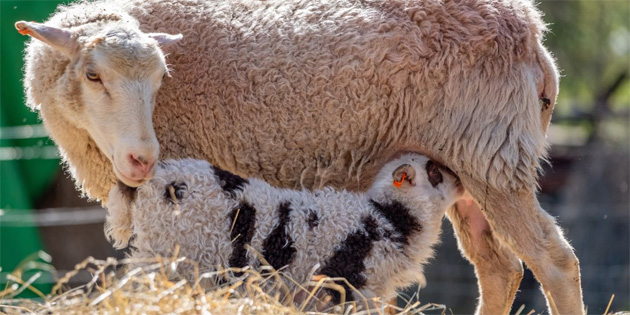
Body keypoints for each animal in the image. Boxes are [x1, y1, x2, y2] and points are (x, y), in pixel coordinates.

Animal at [105, 154, 464, 304]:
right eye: (435, 172)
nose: (461, 180)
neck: (390, 216)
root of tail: (153, 179)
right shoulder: (353, 283)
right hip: (167, 254)